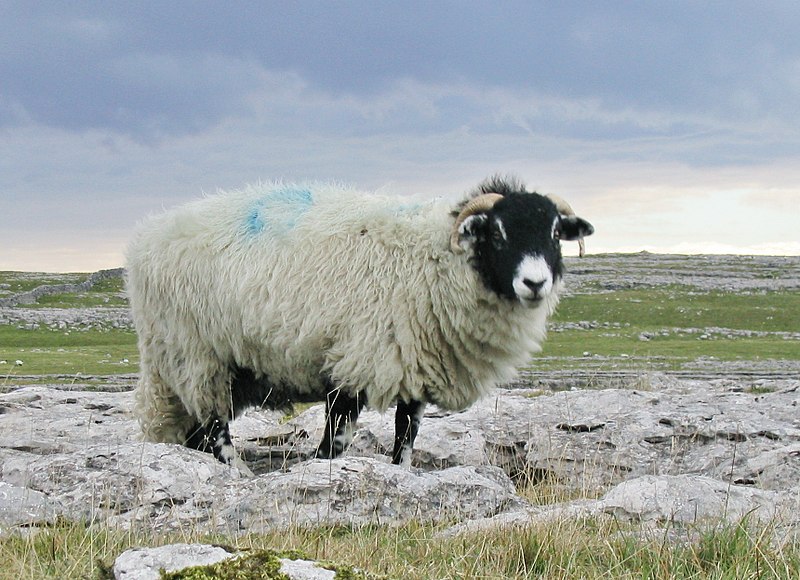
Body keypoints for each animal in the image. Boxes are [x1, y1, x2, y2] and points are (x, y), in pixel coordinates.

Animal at [126, 178, 592, 472]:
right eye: (496, 233)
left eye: (554, 233)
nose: (535, 283)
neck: (440, 257)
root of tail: (147, 236)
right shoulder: (355, 357)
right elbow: (337, 440)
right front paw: (320, 473)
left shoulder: (414, 364)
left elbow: (406, 435)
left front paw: (400, 473)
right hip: (194, 351)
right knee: (214, 425)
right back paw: (237, 473)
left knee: (196, 430)